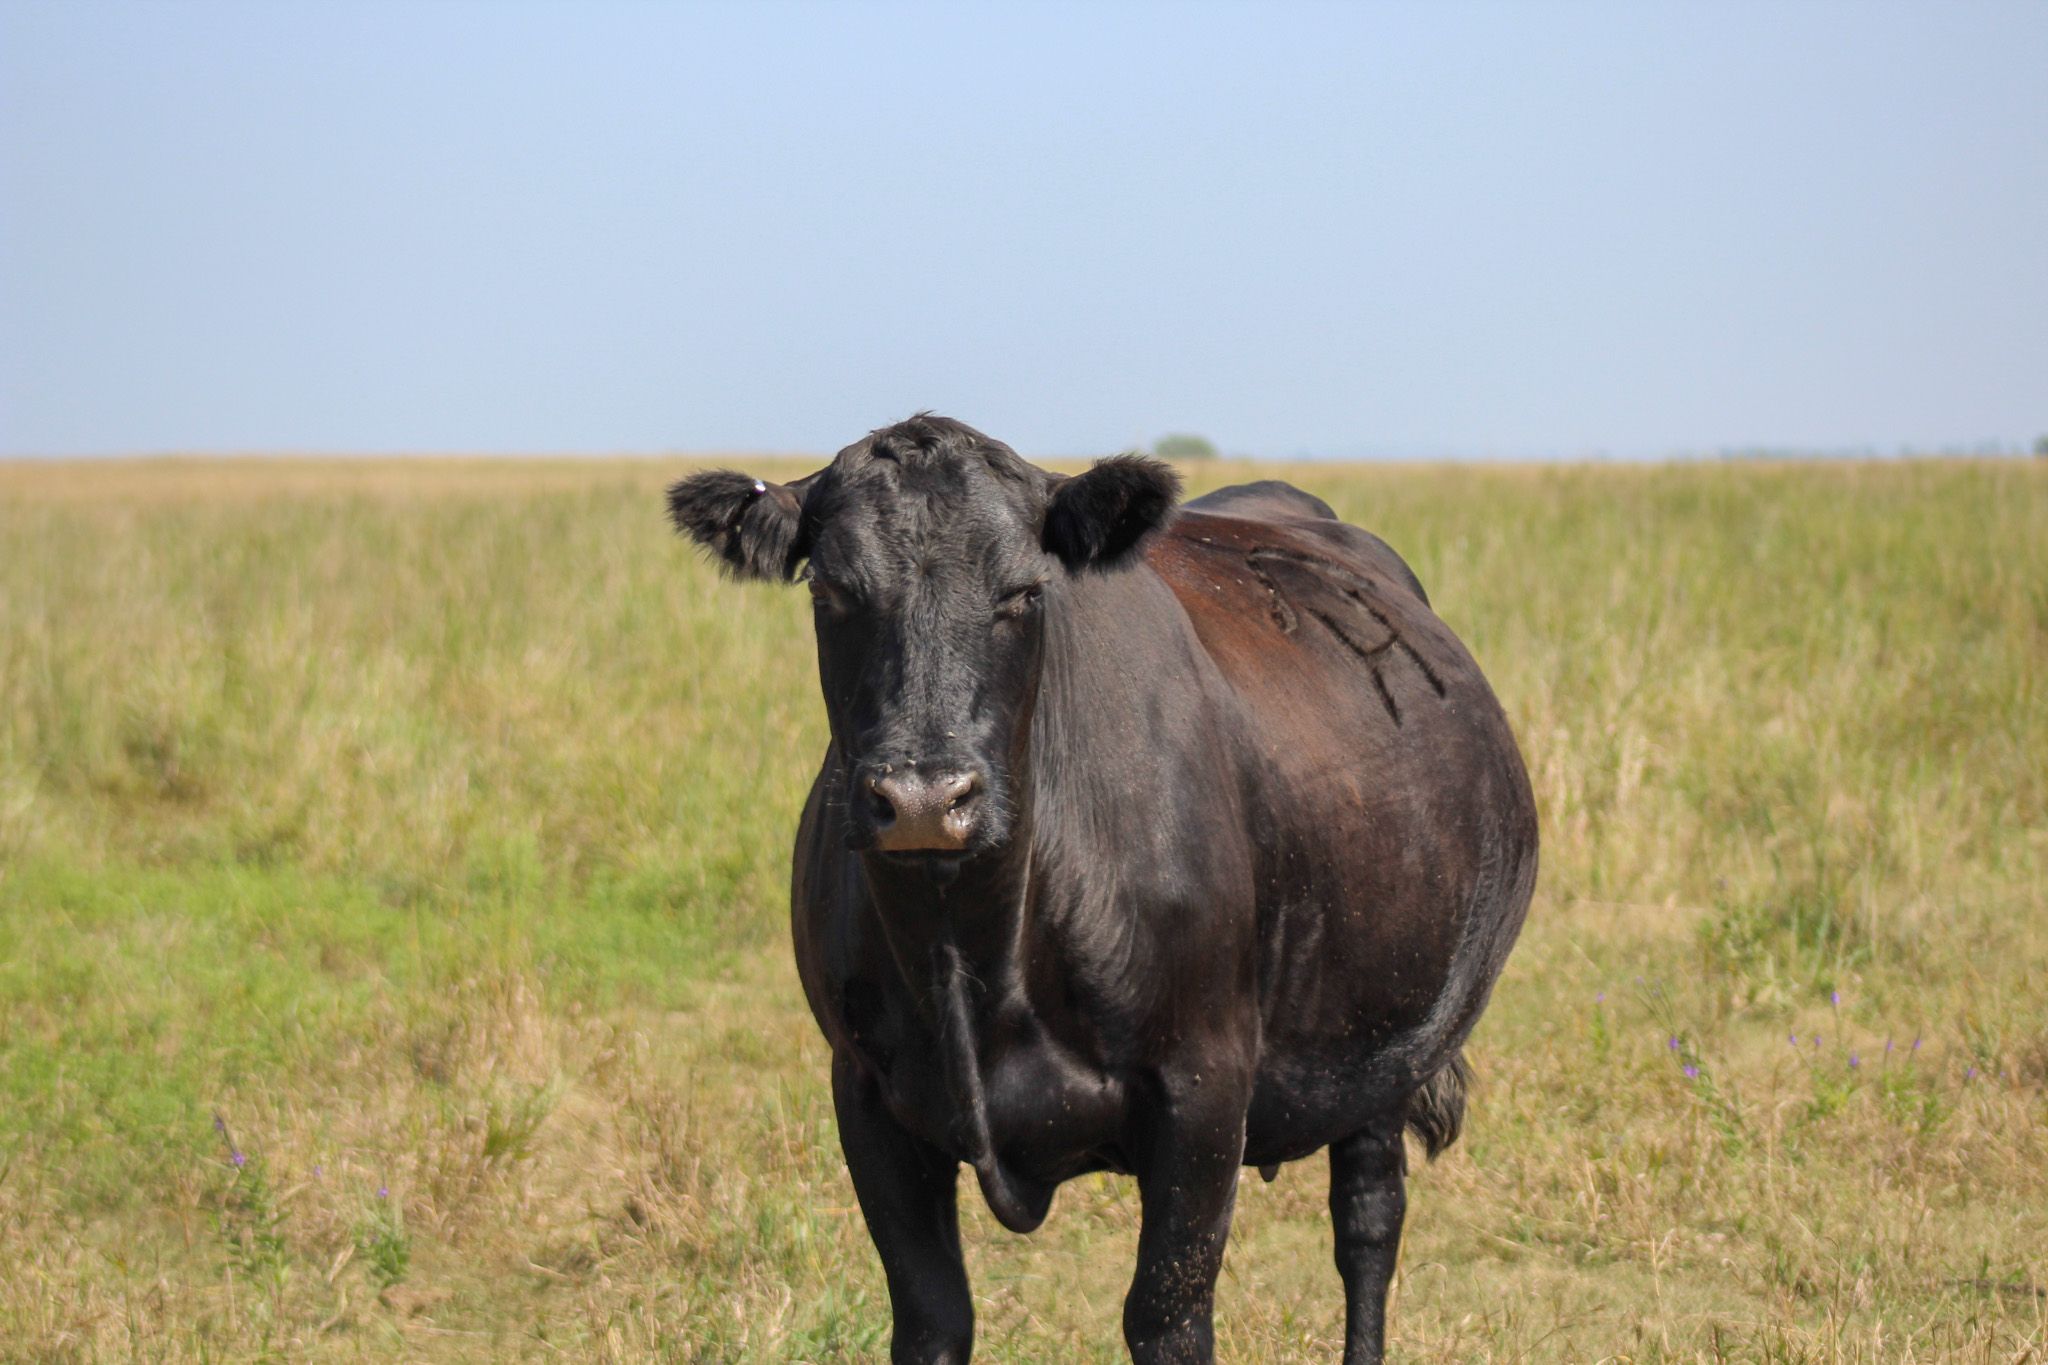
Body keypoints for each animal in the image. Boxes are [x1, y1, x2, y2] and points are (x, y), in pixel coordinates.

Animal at [666, 415, 1537, 1364]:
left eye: (1022, 592)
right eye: (831, 591)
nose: (925, 798)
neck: (970, 945)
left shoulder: (1204, 1087)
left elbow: (1168, 1313)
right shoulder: (866, 1093)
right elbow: (933, 1316)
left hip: (1388, 1043)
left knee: (1369, 1220)